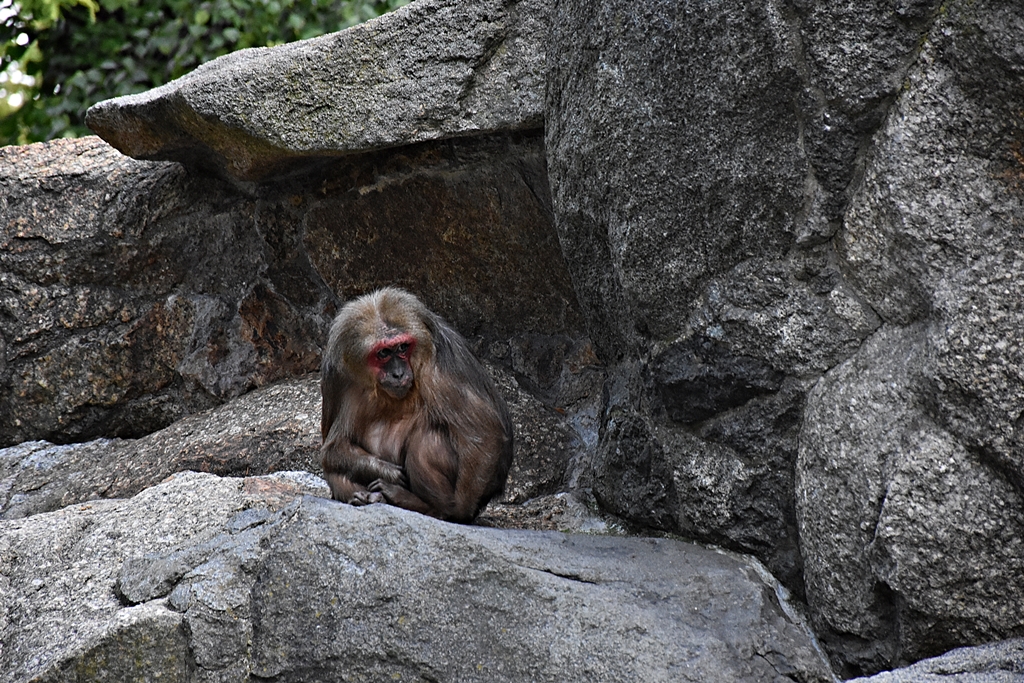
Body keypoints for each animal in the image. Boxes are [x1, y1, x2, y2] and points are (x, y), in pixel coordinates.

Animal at [320, 287, 513, 523]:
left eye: (403, 347)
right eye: (383, 353)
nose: (398, 373)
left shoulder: (435, 367)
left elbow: (484, 432)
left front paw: (458, 511)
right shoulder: (335, 374)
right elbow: (332, 448)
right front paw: (384, 470)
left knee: (427, 440)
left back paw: (425, 506)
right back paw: (364, 496)